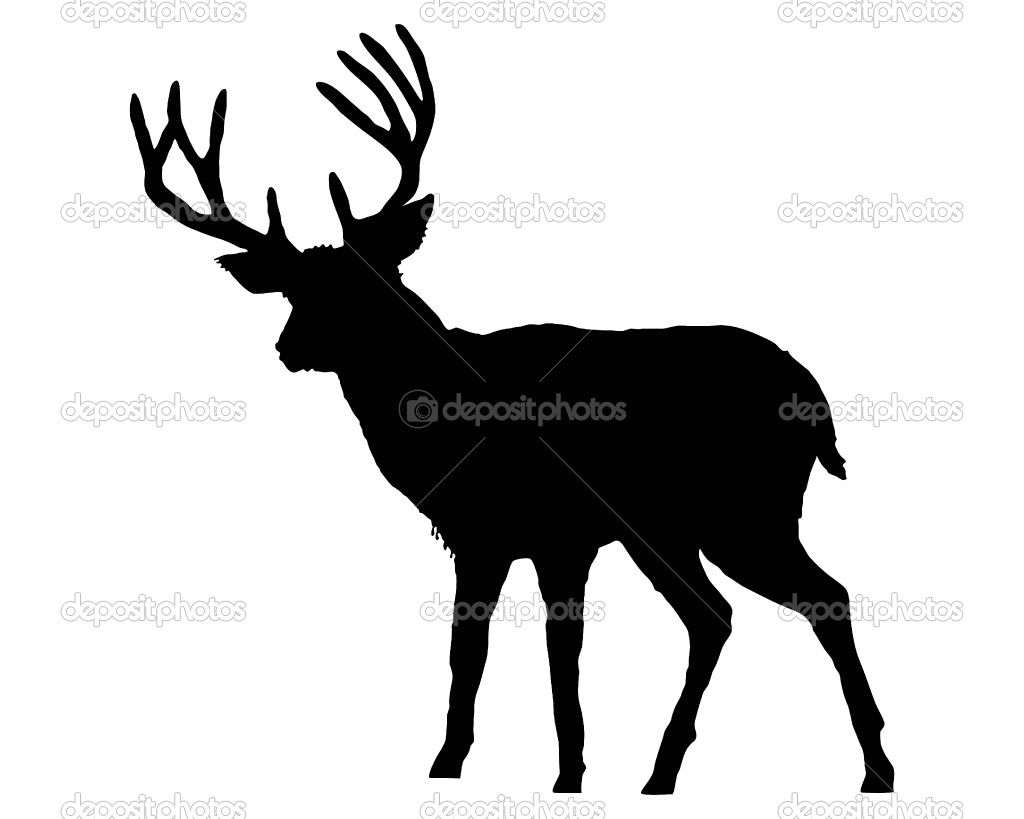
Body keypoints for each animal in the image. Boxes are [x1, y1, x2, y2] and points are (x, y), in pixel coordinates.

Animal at [130, 24, 894, 796]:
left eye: (374, 281)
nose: (290, 347)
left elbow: (532, 652)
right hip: (671, 525)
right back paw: (664, 772)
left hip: (743, 508)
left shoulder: (543, 530)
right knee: (717, 614)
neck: (453, 419)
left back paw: (873, 767)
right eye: (293, 290)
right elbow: (495, 650)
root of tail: (815, 398)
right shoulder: (501, 534)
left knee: (821, 596)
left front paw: (531, 773)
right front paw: (505, 768)